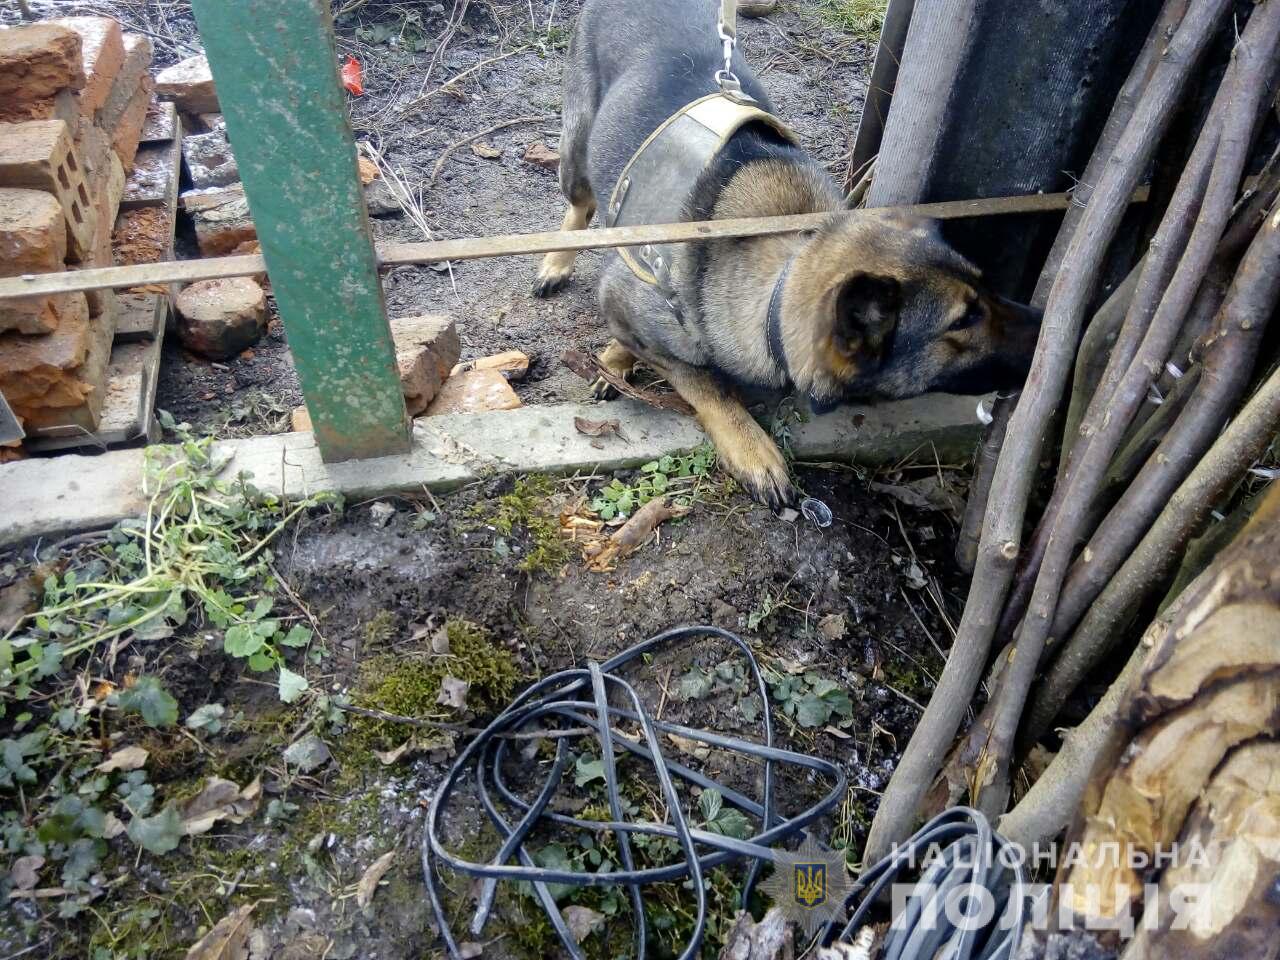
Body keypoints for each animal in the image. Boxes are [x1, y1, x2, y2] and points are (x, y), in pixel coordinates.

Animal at [529, 0, 1039, 512]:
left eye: (988, 287)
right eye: (963, 321)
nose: (1045, 324)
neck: (780, 272)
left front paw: (617, 359)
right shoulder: (630, 298)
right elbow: (705, 384)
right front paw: (751, 447)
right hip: (578, 144)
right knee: (580, 204)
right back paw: (555, 263)